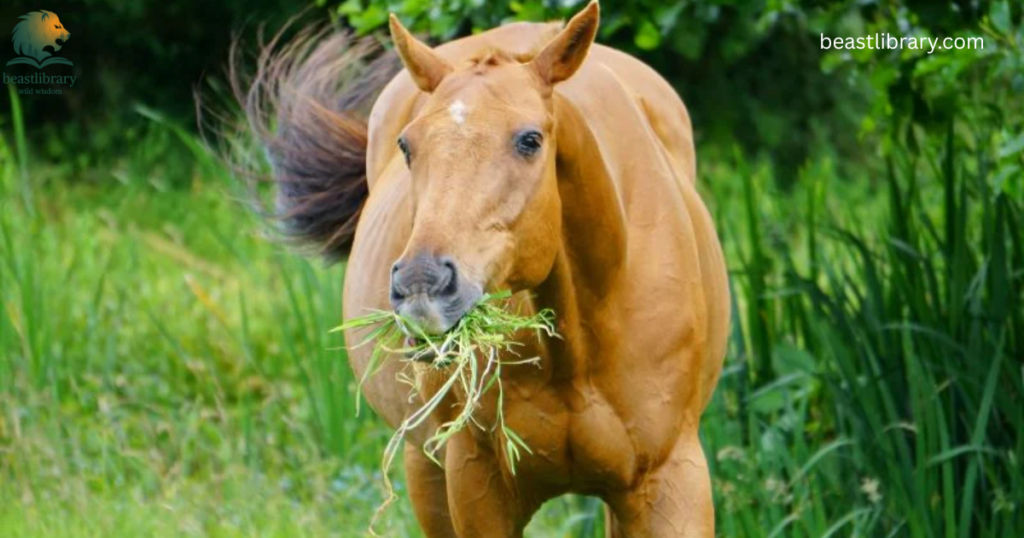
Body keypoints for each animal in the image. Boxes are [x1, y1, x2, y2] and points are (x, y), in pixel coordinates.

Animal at [237, 2, 729, 536]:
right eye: (407, 146)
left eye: (530, 140)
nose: (422, 286)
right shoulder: (477, 485)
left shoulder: (670, 484)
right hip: (425, 470)